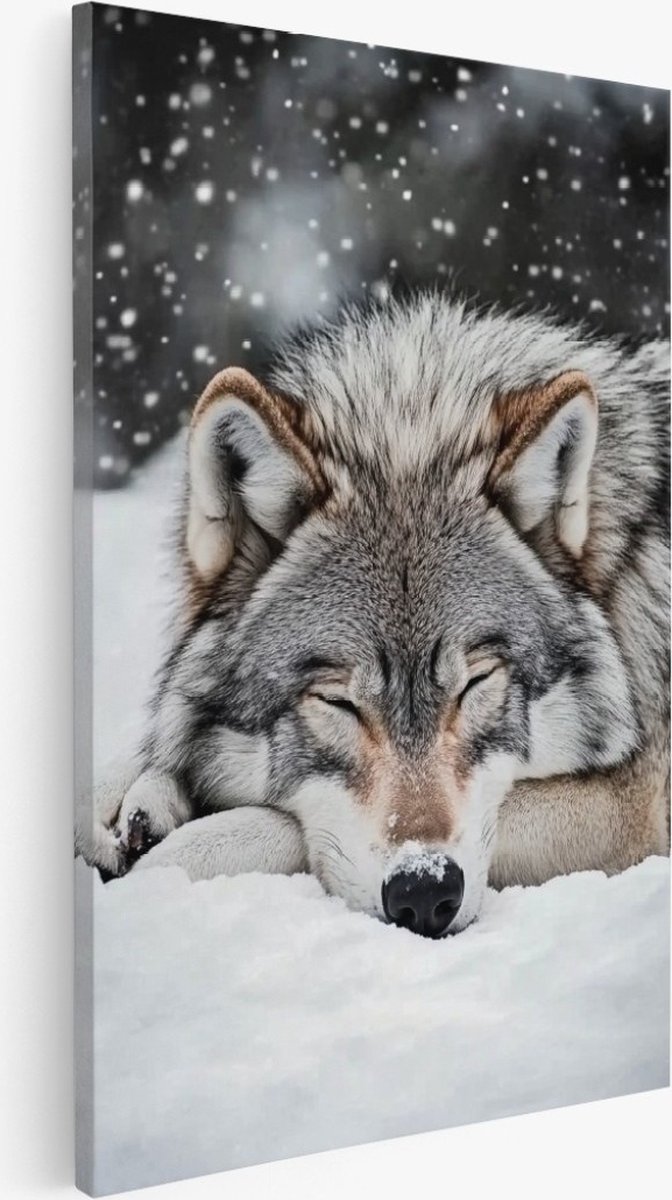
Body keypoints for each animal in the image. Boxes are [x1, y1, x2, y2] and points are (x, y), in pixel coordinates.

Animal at [76, 293, 670, 936]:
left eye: (475, 684)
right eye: (338, 702)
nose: (425, 890)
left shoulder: (633, 804)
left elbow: (284, 831)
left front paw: (165, 848)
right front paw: (131, 800)